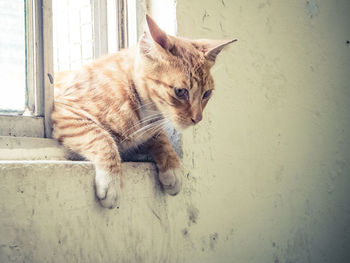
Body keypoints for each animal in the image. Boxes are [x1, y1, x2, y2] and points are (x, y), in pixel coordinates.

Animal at [52, 14, 237, 209]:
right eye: (180, 91)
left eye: (206, 94)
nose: (198, 118)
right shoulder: (67, 111)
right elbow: (101, 137)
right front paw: (111, 180)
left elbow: (161, 138)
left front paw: (172, 167)